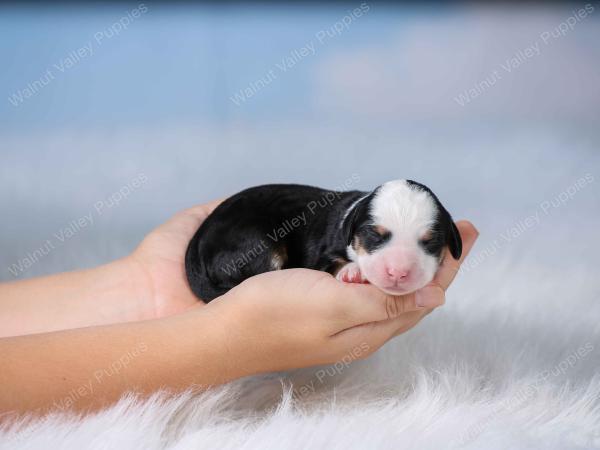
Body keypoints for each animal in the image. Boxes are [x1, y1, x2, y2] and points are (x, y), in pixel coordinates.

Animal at [185, 179, 462, 302]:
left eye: (429, 242)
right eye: (374, 235)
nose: (398, 272)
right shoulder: (321, 254)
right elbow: (333, 263)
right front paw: (353, 271)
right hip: (256, 244)